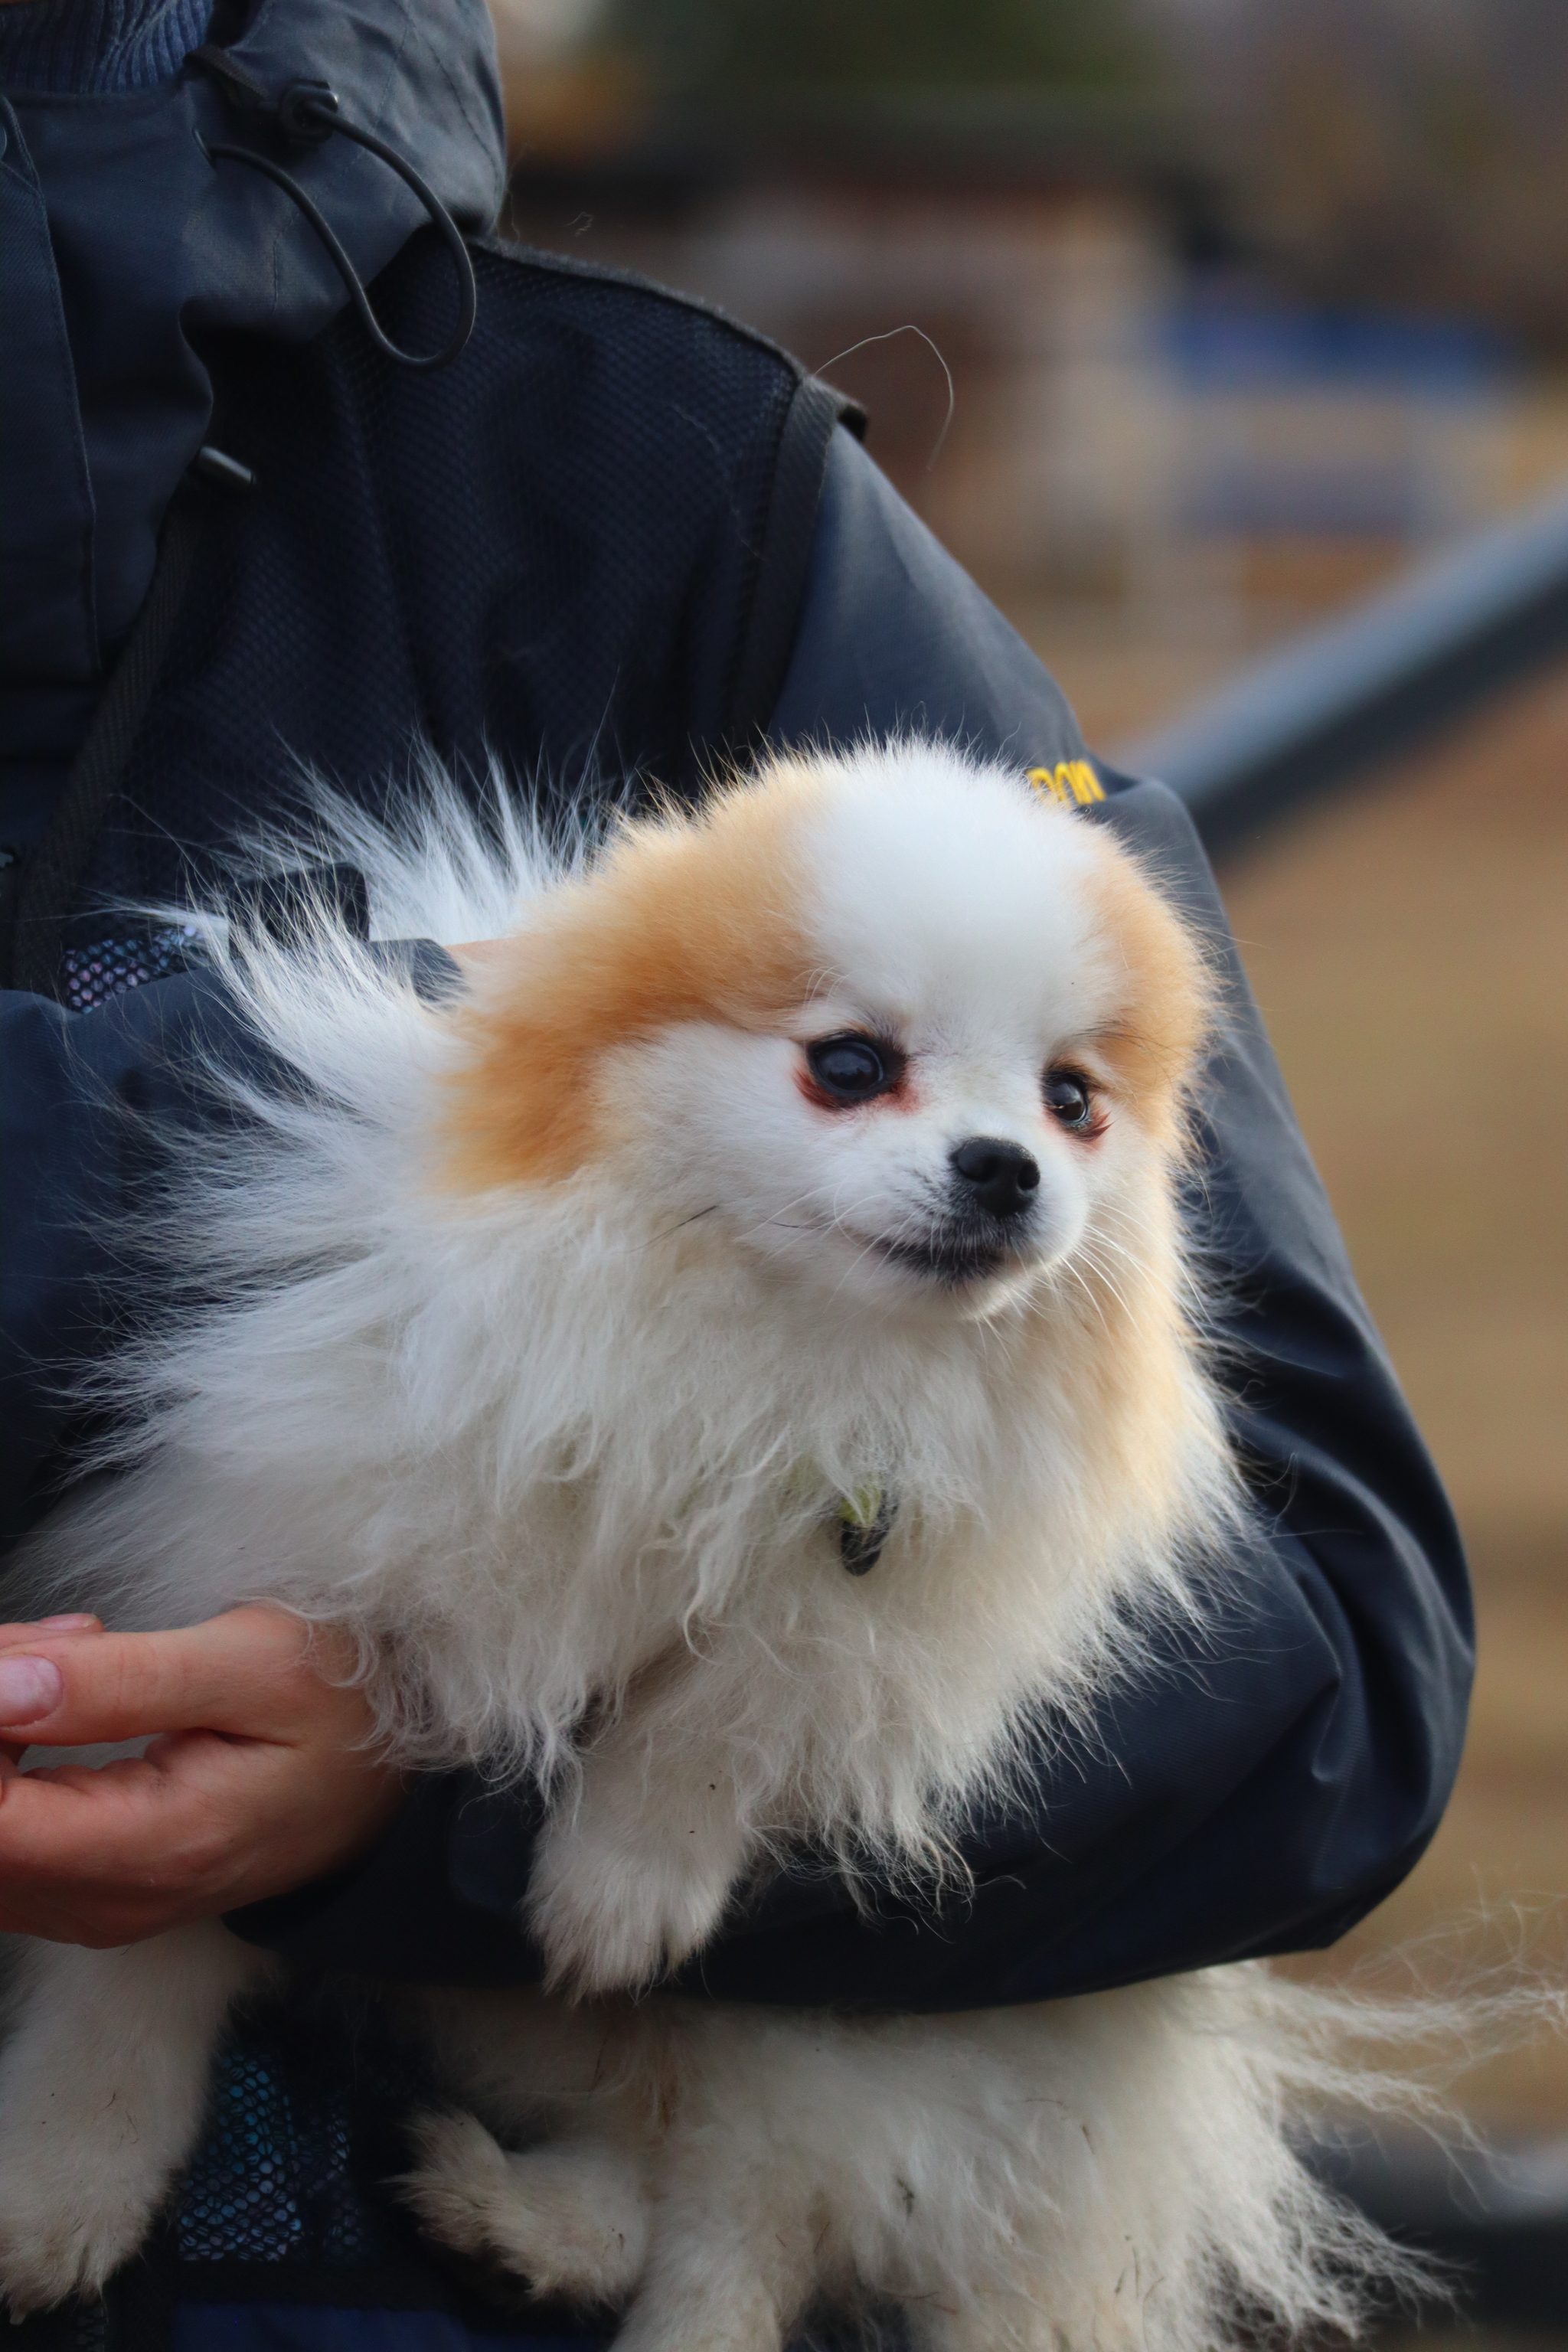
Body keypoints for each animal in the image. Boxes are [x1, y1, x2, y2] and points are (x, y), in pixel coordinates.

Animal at [0, 747, 1410, 2352]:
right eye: (848, 1064)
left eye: (1073, 1102)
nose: (1004, 1168)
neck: (766, 1352)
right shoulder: (239, 1555)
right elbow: (136, 1973)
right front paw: (59, 2182)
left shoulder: (877, 1603)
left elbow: (720, 1713)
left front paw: (616, 1893)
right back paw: (509, 2215)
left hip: (841, 2045)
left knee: (742, 2220)